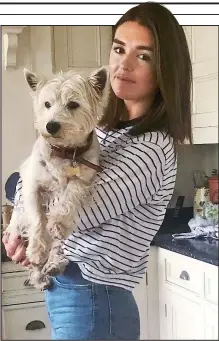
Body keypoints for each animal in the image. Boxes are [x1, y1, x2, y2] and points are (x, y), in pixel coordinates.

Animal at [6, 66, 108, 290]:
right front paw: (37, 249)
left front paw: (59, 222)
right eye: (47, 104)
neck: (66, 151)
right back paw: (39, 275)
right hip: (18, 226)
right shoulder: (32, 186)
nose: (51, 126)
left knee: (59, 245)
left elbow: (69, 198)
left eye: (73, 104)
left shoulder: (83, 178)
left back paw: (53, 263)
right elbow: (37, 218)